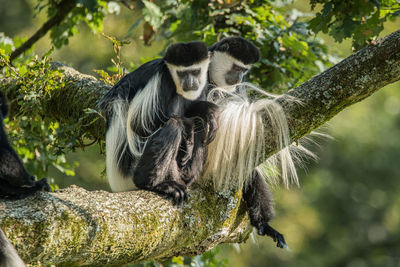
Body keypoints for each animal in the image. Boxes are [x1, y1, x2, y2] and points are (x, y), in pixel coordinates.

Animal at [100, 41, 219, 205]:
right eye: (182, 74)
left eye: (195, 72)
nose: (190, 83)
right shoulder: (162, 81)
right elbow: (139, 125)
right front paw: (187, 128)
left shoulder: (202, 84)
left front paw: (208, 110)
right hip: (136, 165)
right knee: (173, 126)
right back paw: (156, 184)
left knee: (201, 124)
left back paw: (186, 176)